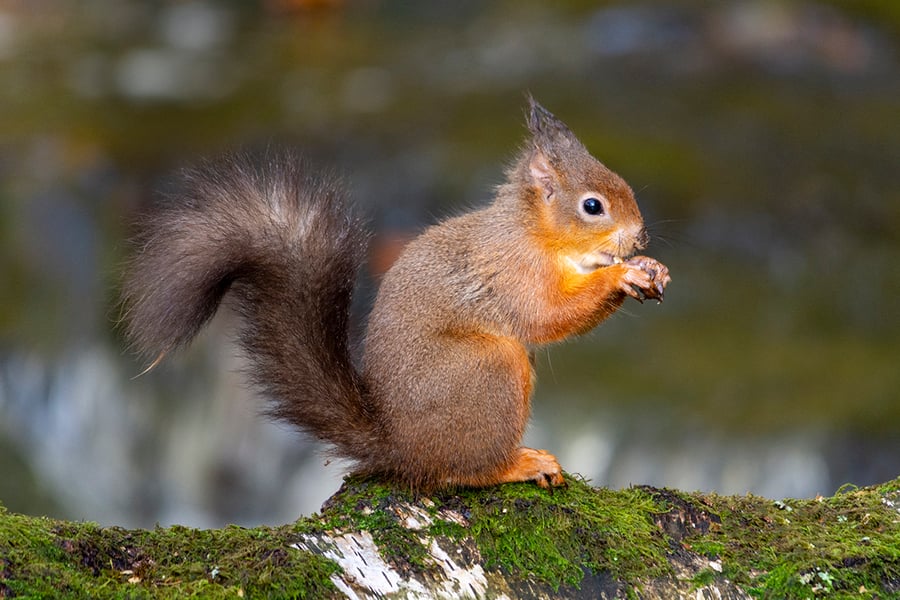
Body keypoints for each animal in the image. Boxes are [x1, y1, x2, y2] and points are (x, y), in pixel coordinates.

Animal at [121, 97, 671, 491]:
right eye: (593, 206)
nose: (640, 235)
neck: (534, 232)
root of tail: (400, 449)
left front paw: (650, 268)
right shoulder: (513, 272)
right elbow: (547, 315)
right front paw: (620, 277)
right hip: (488, 371)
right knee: (457, 473)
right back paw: (519, 464)